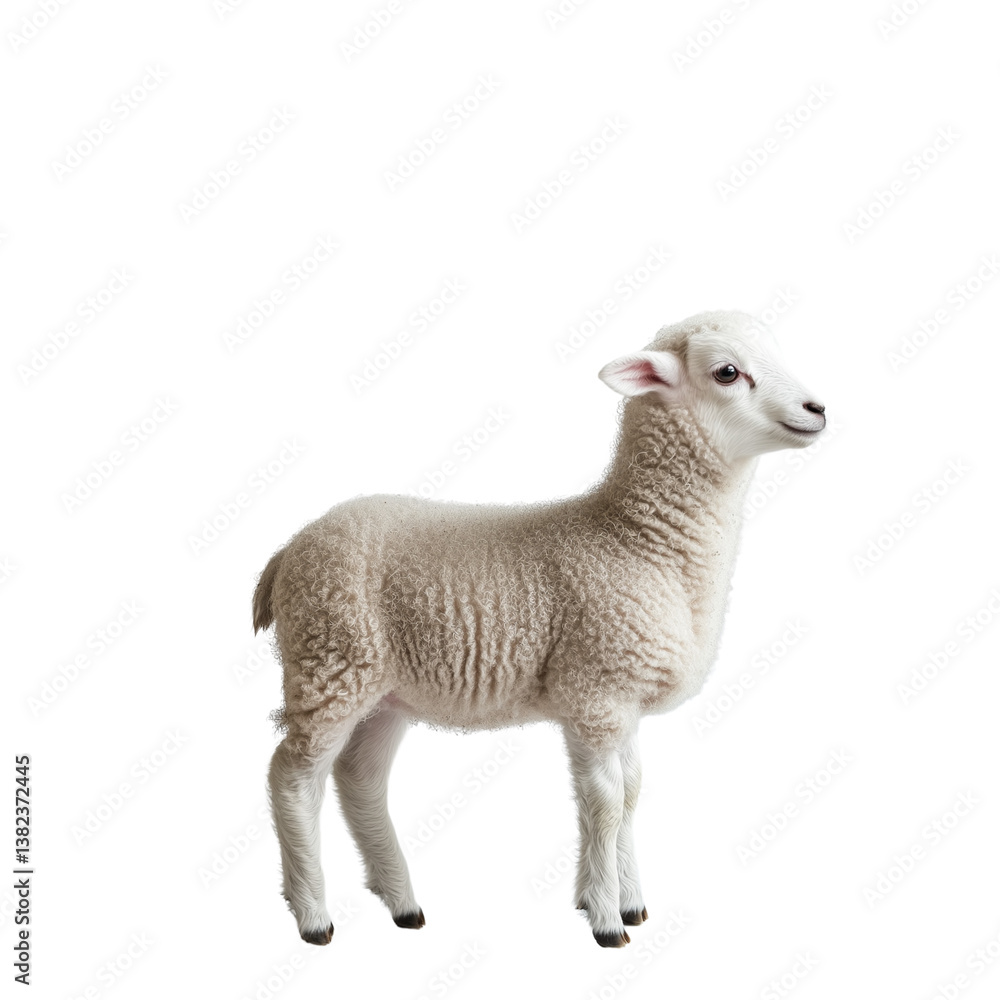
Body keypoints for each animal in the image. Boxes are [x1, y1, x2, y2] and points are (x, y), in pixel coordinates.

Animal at [253, 309, 827, 949]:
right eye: (728, 372)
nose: (818, 409)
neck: (637, 540)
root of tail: (290, 549)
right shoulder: (598, 689)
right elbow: (606, 804)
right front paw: (606, 920)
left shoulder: (609, 702)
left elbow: (630, 794)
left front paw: (625, 901)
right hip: (330, 658)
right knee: (292, 778)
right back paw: (313, 914)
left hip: (384, 690)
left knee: (360, 779)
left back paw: (402, 902)